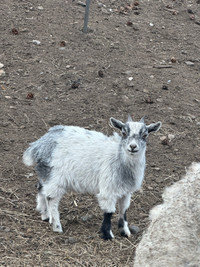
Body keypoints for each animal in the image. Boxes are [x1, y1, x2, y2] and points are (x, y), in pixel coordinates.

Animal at [22, 115, 162, 241]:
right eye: (123, 132)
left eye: (145, 135)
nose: (132, 147)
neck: (119, 158)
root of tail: (38, 145)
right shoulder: (108, 189)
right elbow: (109, 212)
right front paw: (107, 235)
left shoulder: (126, 191)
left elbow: (124, 210)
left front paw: (125, 232)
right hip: (55, 177)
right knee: (51, 198)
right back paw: (56, 226)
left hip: (46, 174)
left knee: (41, 189)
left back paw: (45, 215)